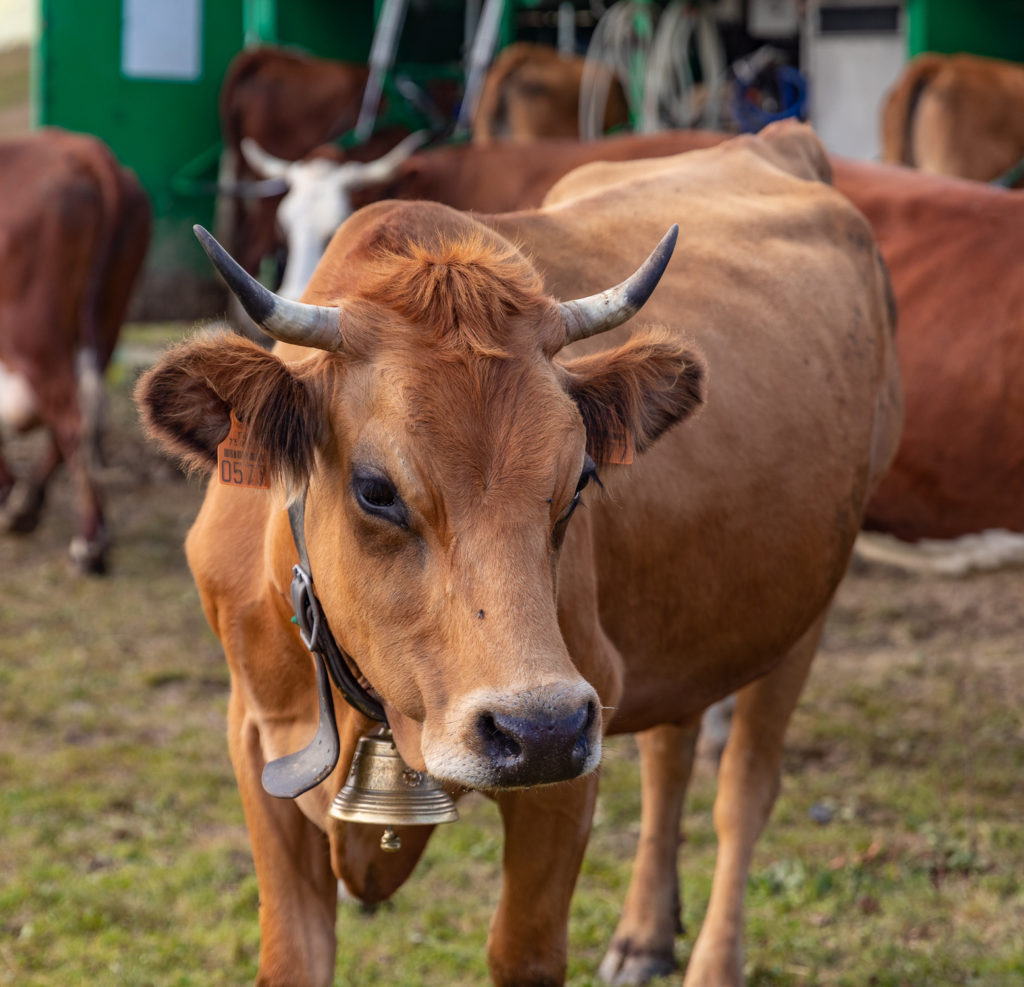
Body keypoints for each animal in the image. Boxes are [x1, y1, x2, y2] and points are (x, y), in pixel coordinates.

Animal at [0, 127, 150, 573]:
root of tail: (81, 150)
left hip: (34, 335)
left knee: (71, 415)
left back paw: (90, 541)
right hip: (108, 315)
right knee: (82, 414)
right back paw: (28, 503)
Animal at [134, 123, 897, 987]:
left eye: (579, 479)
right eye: (376, 489)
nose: (541, 725)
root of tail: (774, 140)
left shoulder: (566, 757)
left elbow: (524, 949)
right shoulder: (258, 742)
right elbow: (292, 954)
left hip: (800, 608)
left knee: (743, 790)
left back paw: (711, 958)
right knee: (671, 752)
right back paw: (644, 932)